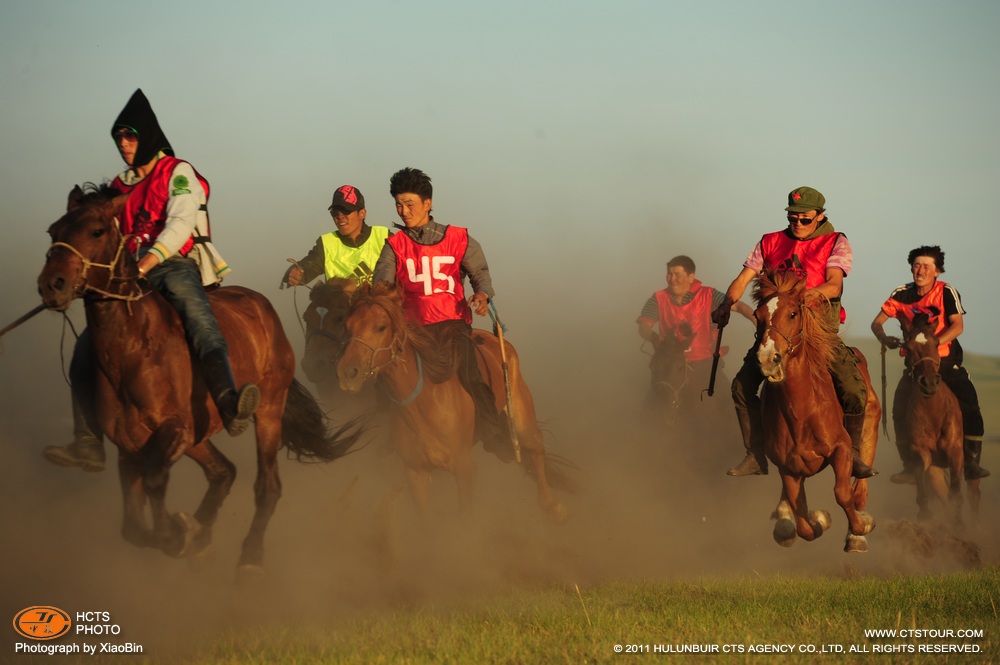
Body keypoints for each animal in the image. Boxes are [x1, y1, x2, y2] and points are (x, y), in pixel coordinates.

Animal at [37, 184, 362, 580]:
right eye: (53, 231)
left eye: (97, 231)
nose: (52, 285)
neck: (133, 349)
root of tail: (262, 307)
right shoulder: (130, 447)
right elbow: (132, 527)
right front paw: (185, 533)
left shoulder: (174, 430)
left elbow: (156, 481)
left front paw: (178, 534)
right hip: (199, 436)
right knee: (223, 471)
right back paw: (203, 537)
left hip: (268, 409)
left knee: (266, 485)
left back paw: (250, 558)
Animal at [336, 278, 580, 520]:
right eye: (347, 326)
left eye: (381, 327)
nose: (348, 373)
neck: (422, 405)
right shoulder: (415, 472)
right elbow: (425, 518)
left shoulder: (464, 468)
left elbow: (465, 515)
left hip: (520, 412)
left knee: (536, 446)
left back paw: (553, 506)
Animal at [752, 272, 880, 552]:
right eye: (758, 315)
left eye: (792, 314)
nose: (768, 358)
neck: (802, 413)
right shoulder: (788, 469)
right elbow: (804, 524)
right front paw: (818, 519)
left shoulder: (841, 449)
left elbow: (842, 493)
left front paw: (861, 526)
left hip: (870, 430)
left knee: (860, 487)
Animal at [896, 312, 972, 524]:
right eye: (908, 347)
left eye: (937, 343)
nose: (929, 383)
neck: (934, 413)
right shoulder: (920, 452)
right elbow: (922, 485)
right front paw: (924, 514)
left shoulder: (956, 452)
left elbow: (957, 495)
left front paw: (960, 526)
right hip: (936, 473)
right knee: (943, 496)